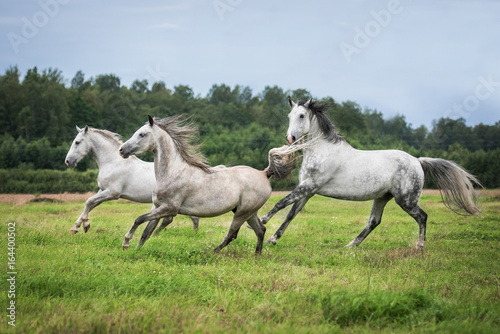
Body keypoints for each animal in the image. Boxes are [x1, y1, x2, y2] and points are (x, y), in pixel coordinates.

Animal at [64, 126, 199, 234]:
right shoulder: (103, 190)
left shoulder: (112, 193)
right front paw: (75, 228)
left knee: (189, 218)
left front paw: (85, 226)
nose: (68, 161)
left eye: (77, 142)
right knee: (179, 219)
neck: (112, 162)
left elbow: (89, 202)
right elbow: (91, 205)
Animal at [118, 115, 296, 253]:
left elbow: (139, 219)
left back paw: (213, 252)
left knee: (232, 234)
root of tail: (264, 173)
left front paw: (126, 243)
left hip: (242, 213)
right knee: (260, 230)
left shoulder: (170, 208)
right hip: (248, 212)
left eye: (142, 134)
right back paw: (256, 256)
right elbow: (146, 232)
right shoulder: (157, 206)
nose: (121, 150)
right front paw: (136, 251)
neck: (172, 171)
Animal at [260, 96, 482, 248]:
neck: (322, 150)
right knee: (374, 222)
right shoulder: (309, 190)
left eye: (302, 116)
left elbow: (281, 203)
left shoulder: (309, 186)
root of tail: (418, 161)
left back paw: (420, 246)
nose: (290, 138)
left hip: (406, 200)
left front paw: (262, 220)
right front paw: (272, 238)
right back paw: (351, 245)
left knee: (422, 217)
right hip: (382, 197)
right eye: (289, 116)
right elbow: (291, 213)